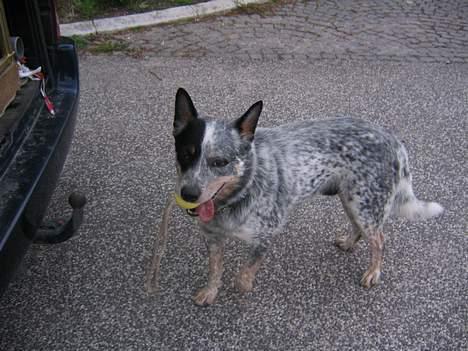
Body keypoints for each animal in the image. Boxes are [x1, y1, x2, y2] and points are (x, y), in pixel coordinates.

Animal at [174, 88, 444, 308]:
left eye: (220, 162)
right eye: (186, 154)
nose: (188, 194)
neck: (236, 196)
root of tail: (393, 139)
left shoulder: (264, 237)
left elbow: (244, 275)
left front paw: (244, 286)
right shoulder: (212, 237)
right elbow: (214, 270)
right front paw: (210, 292)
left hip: (365, 204)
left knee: (379, 239)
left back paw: (373, 272)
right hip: (352, 199)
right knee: (360, 229)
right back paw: (349, 243)